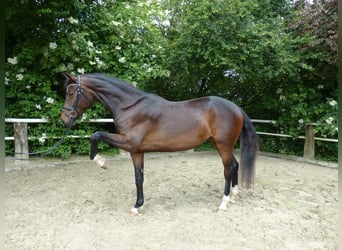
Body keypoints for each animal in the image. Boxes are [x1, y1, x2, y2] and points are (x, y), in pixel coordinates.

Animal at [61, 73, 258, 214]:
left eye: (71, 93)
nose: (64, 119)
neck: (130, 106)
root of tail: (236, 108)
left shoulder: (129, 142)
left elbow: (96, 135)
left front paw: (101, 162)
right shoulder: (136, 151)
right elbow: (138, 178)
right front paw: (138, 206)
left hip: (223, 145)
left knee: (228, 170)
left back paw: (224, 203)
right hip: (221, 145)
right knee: (235, 165)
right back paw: (233, 196)